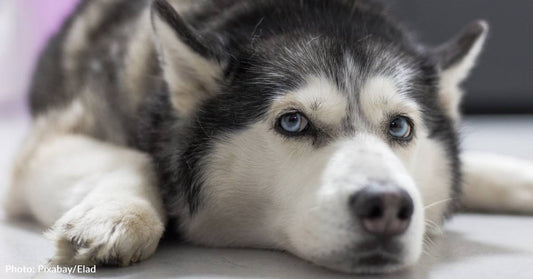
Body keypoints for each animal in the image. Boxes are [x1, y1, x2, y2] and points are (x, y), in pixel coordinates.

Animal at [4, 0, 532, 274]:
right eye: (293, 123)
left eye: (400, 127)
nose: (387, 206)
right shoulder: (47, 143)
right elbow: (136, 160)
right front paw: (115, 216)